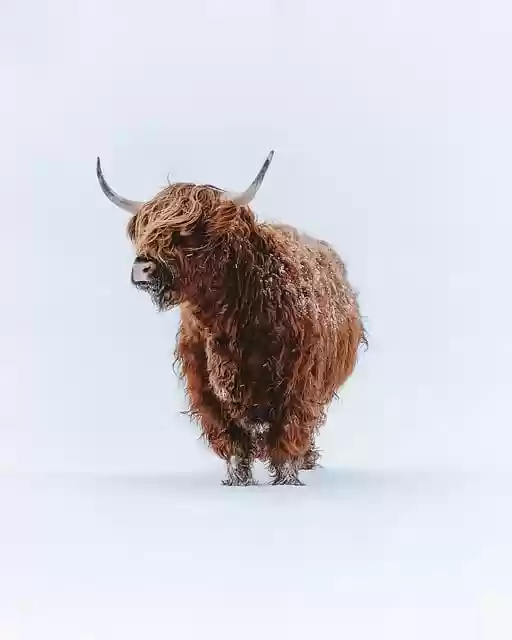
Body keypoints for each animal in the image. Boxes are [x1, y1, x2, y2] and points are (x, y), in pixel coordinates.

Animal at [96, 151, 367, 485]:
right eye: (146, 229)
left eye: (191, 232)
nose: (142, 268)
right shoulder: (204, 387)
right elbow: (232, 439)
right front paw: (239, 481)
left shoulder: (298, 384)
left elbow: (287, 435)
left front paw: (287, 482)